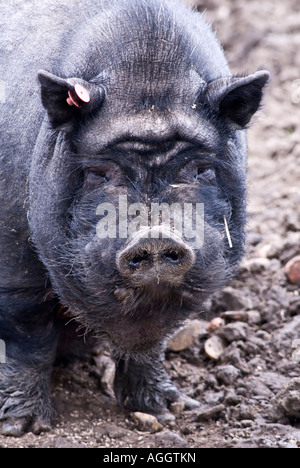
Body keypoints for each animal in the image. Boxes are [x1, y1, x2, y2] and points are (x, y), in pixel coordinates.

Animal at [0, 0, 268, 436]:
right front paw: (21, 427)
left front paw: (166, 412)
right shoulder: (12, 260)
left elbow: (152, 346)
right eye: (99, 172)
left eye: (200, 169)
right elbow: (28, 337)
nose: (156, 235)